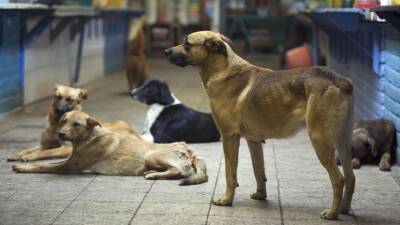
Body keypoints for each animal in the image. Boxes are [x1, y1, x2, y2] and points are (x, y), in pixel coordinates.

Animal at [166, 30, 356, 219]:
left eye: (187, 43)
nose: (166, 51)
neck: (222, 69)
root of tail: (337, 79)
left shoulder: (229, 137)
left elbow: (230, 174)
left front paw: (227, 200)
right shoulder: (254, 141)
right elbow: (258, 170)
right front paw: (260, 195)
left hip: (320, 141)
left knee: (339, 179)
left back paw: (332, 213)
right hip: (343, 143)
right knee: (351, 178)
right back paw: (344, 209)